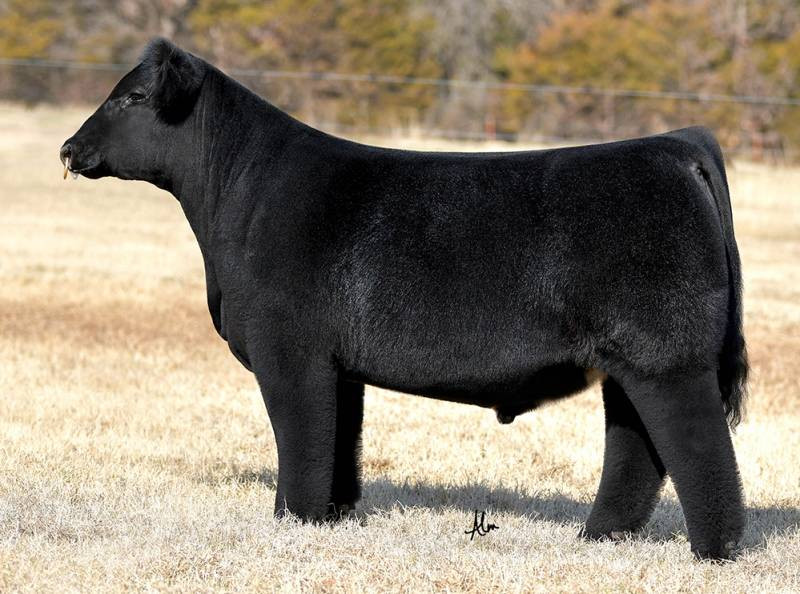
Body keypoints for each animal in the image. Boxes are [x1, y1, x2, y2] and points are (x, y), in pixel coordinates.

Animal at [60, 38, 748, 560]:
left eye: (133, 97)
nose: (69, 148)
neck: (241, 196)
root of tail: (674, 145)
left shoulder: (290, 352)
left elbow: (301, 437)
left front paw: (293, 521)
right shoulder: (339, 366)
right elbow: (339, 442)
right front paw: (330, 518)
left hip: (668, 357)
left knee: (699, 448)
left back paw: (713, 552)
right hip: (630, 362)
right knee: (637, 447)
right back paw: (599, 537)